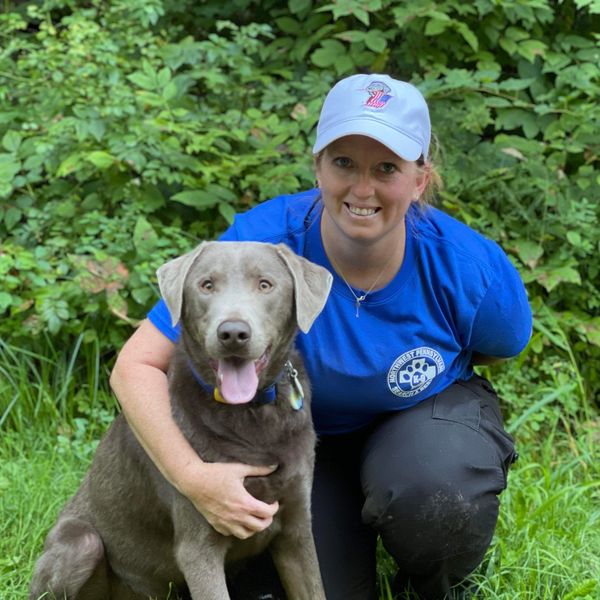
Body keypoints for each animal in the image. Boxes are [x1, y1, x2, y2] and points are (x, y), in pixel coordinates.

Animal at [29, 241, 332, 600]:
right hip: (80, 543)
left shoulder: (297, 530)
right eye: (207, 285)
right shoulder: (199, 547)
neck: (251, 415)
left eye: (265, 285)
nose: (233, 333)